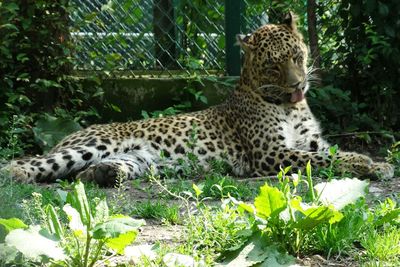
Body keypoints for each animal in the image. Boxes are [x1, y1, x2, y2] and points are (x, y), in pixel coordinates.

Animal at [3, 12, 394, 186]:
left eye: (297, 56)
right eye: (273, 65)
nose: (298, 85)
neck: (289, 105)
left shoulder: (310, 142)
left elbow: (333, 152)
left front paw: (378, 164)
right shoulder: (271, 153)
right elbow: (329, 159)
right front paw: (367, 164)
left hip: (139, 160)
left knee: (88, 172)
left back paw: (102, 174)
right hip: (89, 145)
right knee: (35, 161)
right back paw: (16, 174)